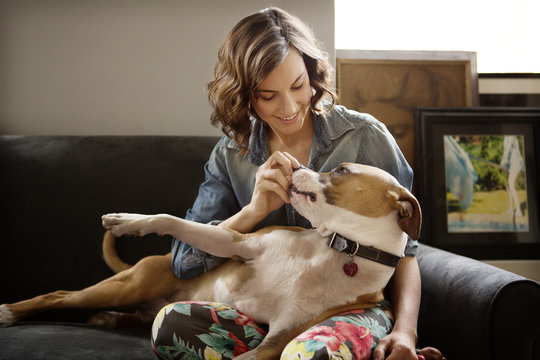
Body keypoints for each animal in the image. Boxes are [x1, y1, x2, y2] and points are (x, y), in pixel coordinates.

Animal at [0, 164, 422, 360]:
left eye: (341, 171)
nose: (298, 167)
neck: (337, 249)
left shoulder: (274, 342)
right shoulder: (238, 243)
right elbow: (177, 222)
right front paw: (131, 222)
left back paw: (106, 320)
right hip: (125, 285)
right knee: (58, 296)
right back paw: (12, 311)